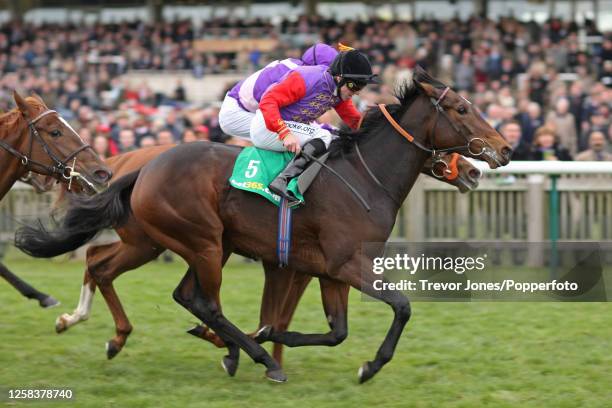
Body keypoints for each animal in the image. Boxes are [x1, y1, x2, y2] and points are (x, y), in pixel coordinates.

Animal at [15, 70, 512, 382]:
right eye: (462, 109)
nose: (503, 150)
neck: (362, 175)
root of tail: (147, 165)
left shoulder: (327, 270)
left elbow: (334, 330)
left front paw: (275, 337)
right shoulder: (345, 264)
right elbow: (402, 307)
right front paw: (365, 366)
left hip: (173, 243)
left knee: (131, 274)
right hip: (203, 242)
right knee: (201, 301)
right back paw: (249, 355)